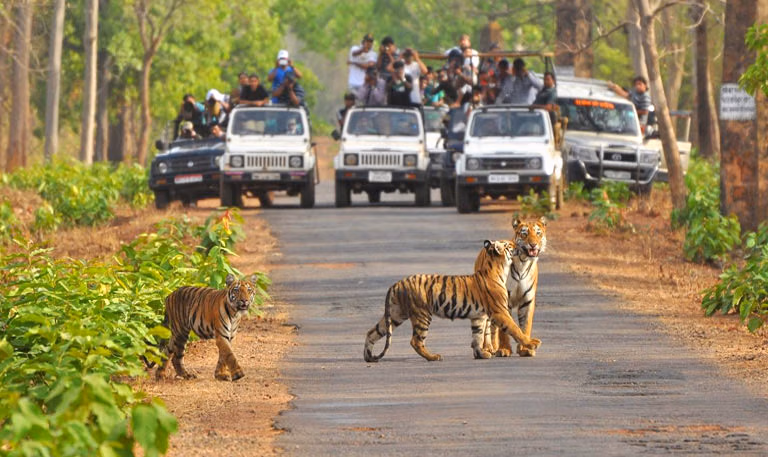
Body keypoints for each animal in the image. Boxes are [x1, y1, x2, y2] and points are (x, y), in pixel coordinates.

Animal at [364, 239, 541, 362]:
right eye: (509, 245)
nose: (519, 245)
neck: (498, 269)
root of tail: (396, 284)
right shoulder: (500, 311)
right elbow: (515, 329)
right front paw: (532, 343)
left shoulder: (479, 317)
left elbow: (477, 336)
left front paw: (480, 354)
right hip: (422, 315)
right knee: (416, 341)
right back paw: (433, 357)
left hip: (396, 314)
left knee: (372, 332)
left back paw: (368, 356)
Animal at [480, 217, 547, 358]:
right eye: (524, 233)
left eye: (538, 233)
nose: (533, 244)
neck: (523, 262)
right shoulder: (503, 301)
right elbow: (505, 329)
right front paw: (504, 349)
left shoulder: (527, 301)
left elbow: (525, 326)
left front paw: (525, 349)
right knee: (487, 326)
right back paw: (488, 348)